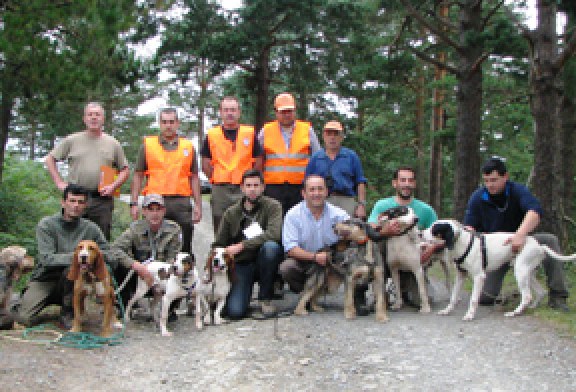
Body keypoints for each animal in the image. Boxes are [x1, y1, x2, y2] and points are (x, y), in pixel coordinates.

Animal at [420, 219, 576, 320]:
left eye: (434, 229)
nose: (420, 233)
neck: (462, 243)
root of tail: (539, 246)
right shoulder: (461, 275)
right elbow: (453, 296)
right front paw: (447, 310)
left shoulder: (479, 277)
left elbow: (473, 299)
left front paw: (470, 315)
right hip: (528, 273)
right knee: (541, 291)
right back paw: (531, 307)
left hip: (520, 272)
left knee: (527, 296)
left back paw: (515, 313)